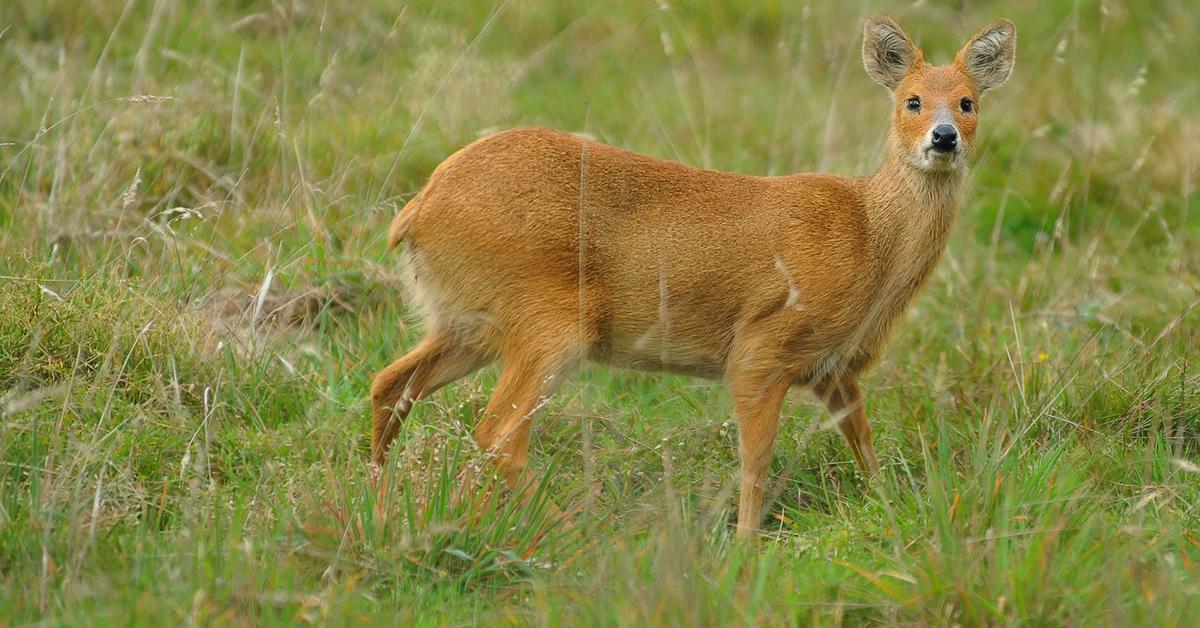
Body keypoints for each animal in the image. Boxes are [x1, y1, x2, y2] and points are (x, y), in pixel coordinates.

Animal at [364, 14, 1012, 535]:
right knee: (497, 434)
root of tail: (417, 209)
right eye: (912, 100)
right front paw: (747, 546)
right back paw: (583, 533)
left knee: (390, 385)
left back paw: (383, 506)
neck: (870, 235)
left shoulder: (834, 368)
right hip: (548, 322)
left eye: (967, 102)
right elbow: (756, 461)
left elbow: (863, 441)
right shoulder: (761, 346)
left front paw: (889, 506)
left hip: (466, 322)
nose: (944, 137)